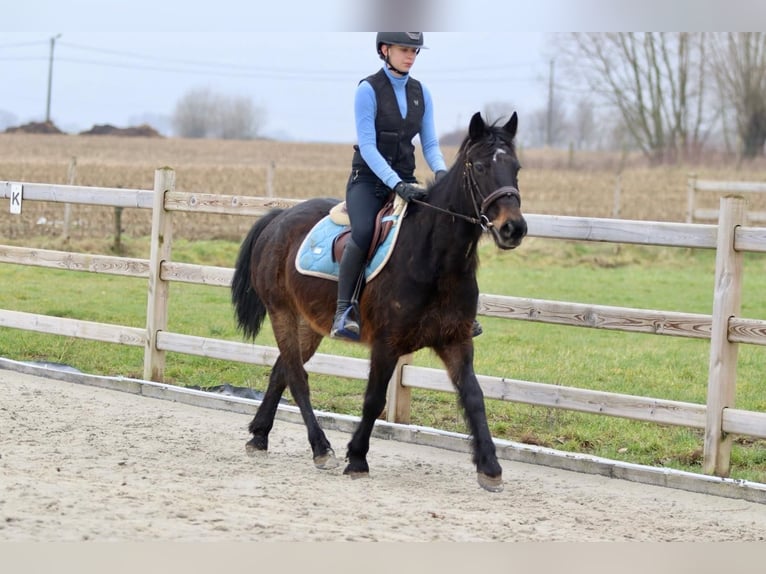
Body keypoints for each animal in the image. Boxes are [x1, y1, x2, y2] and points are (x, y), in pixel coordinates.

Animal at [230, 112, 528, 496]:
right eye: (478, 166)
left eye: (516, 168)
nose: (513, 229)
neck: (434, 259)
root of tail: (278, 219)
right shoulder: (387, 343)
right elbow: (373, 399)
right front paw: (357, 457)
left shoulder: (456, 340)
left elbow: (474, 397)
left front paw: (490, 467)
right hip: (282, 312)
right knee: (296, 376)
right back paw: (320, 448)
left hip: (310, 323)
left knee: (281, 370)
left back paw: (260, 435)